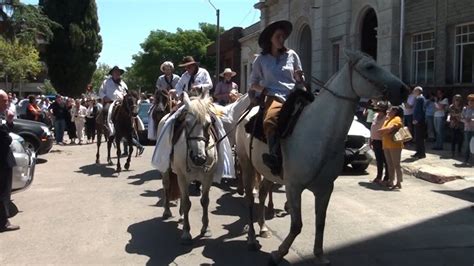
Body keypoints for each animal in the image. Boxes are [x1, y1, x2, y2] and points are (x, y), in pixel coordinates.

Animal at [167, 92, 218, 243]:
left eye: (208, 124)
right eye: (187, 123)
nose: (199, 158)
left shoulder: (208, 177)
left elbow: (204, 201)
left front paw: (206, 229)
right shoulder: (182, 177)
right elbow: (186, 203)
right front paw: (186, 232)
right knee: (167, 188)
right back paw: (167, 211)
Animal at [235, 50, 410, 264]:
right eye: (370, 67)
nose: (404, 90)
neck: (319, 133)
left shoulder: (325, 189)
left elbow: (320, 222)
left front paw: (319, 255)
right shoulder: (294, 187)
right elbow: (297, 225)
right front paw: (278, 253)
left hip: (267, 171)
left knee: (261, 194)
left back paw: (263, 229)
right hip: (246, 164)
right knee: (250, 199)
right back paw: (252, 238)